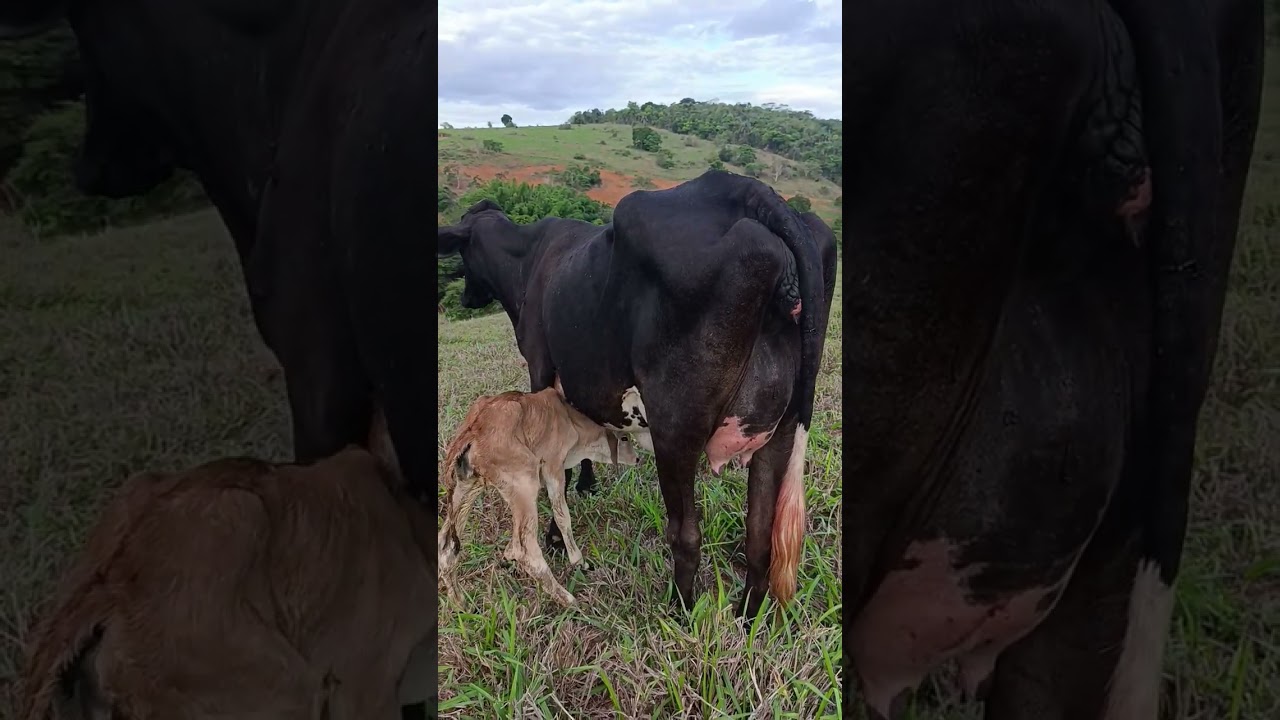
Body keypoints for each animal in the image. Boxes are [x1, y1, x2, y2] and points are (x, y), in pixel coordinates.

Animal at [438, 388, 642, 608]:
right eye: (624, 439)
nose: (637, 458)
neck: (570, 419)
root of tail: (472, 431)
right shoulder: (553, 466)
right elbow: (562, 517)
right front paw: (578, 561)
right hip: (524, 482)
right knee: (525, 548)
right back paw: (568, 599)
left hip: (467, 487)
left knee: (446, 546)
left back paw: (459, 602)